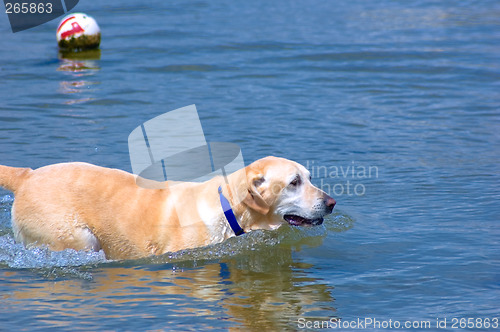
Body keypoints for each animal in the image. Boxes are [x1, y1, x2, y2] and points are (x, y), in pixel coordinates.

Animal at [0, 157, 336, 260]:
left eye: (309, 177)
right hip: (77, 237)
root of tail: (26, 175)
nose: (332, 203)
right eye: (294, 182)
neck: (229, 210)